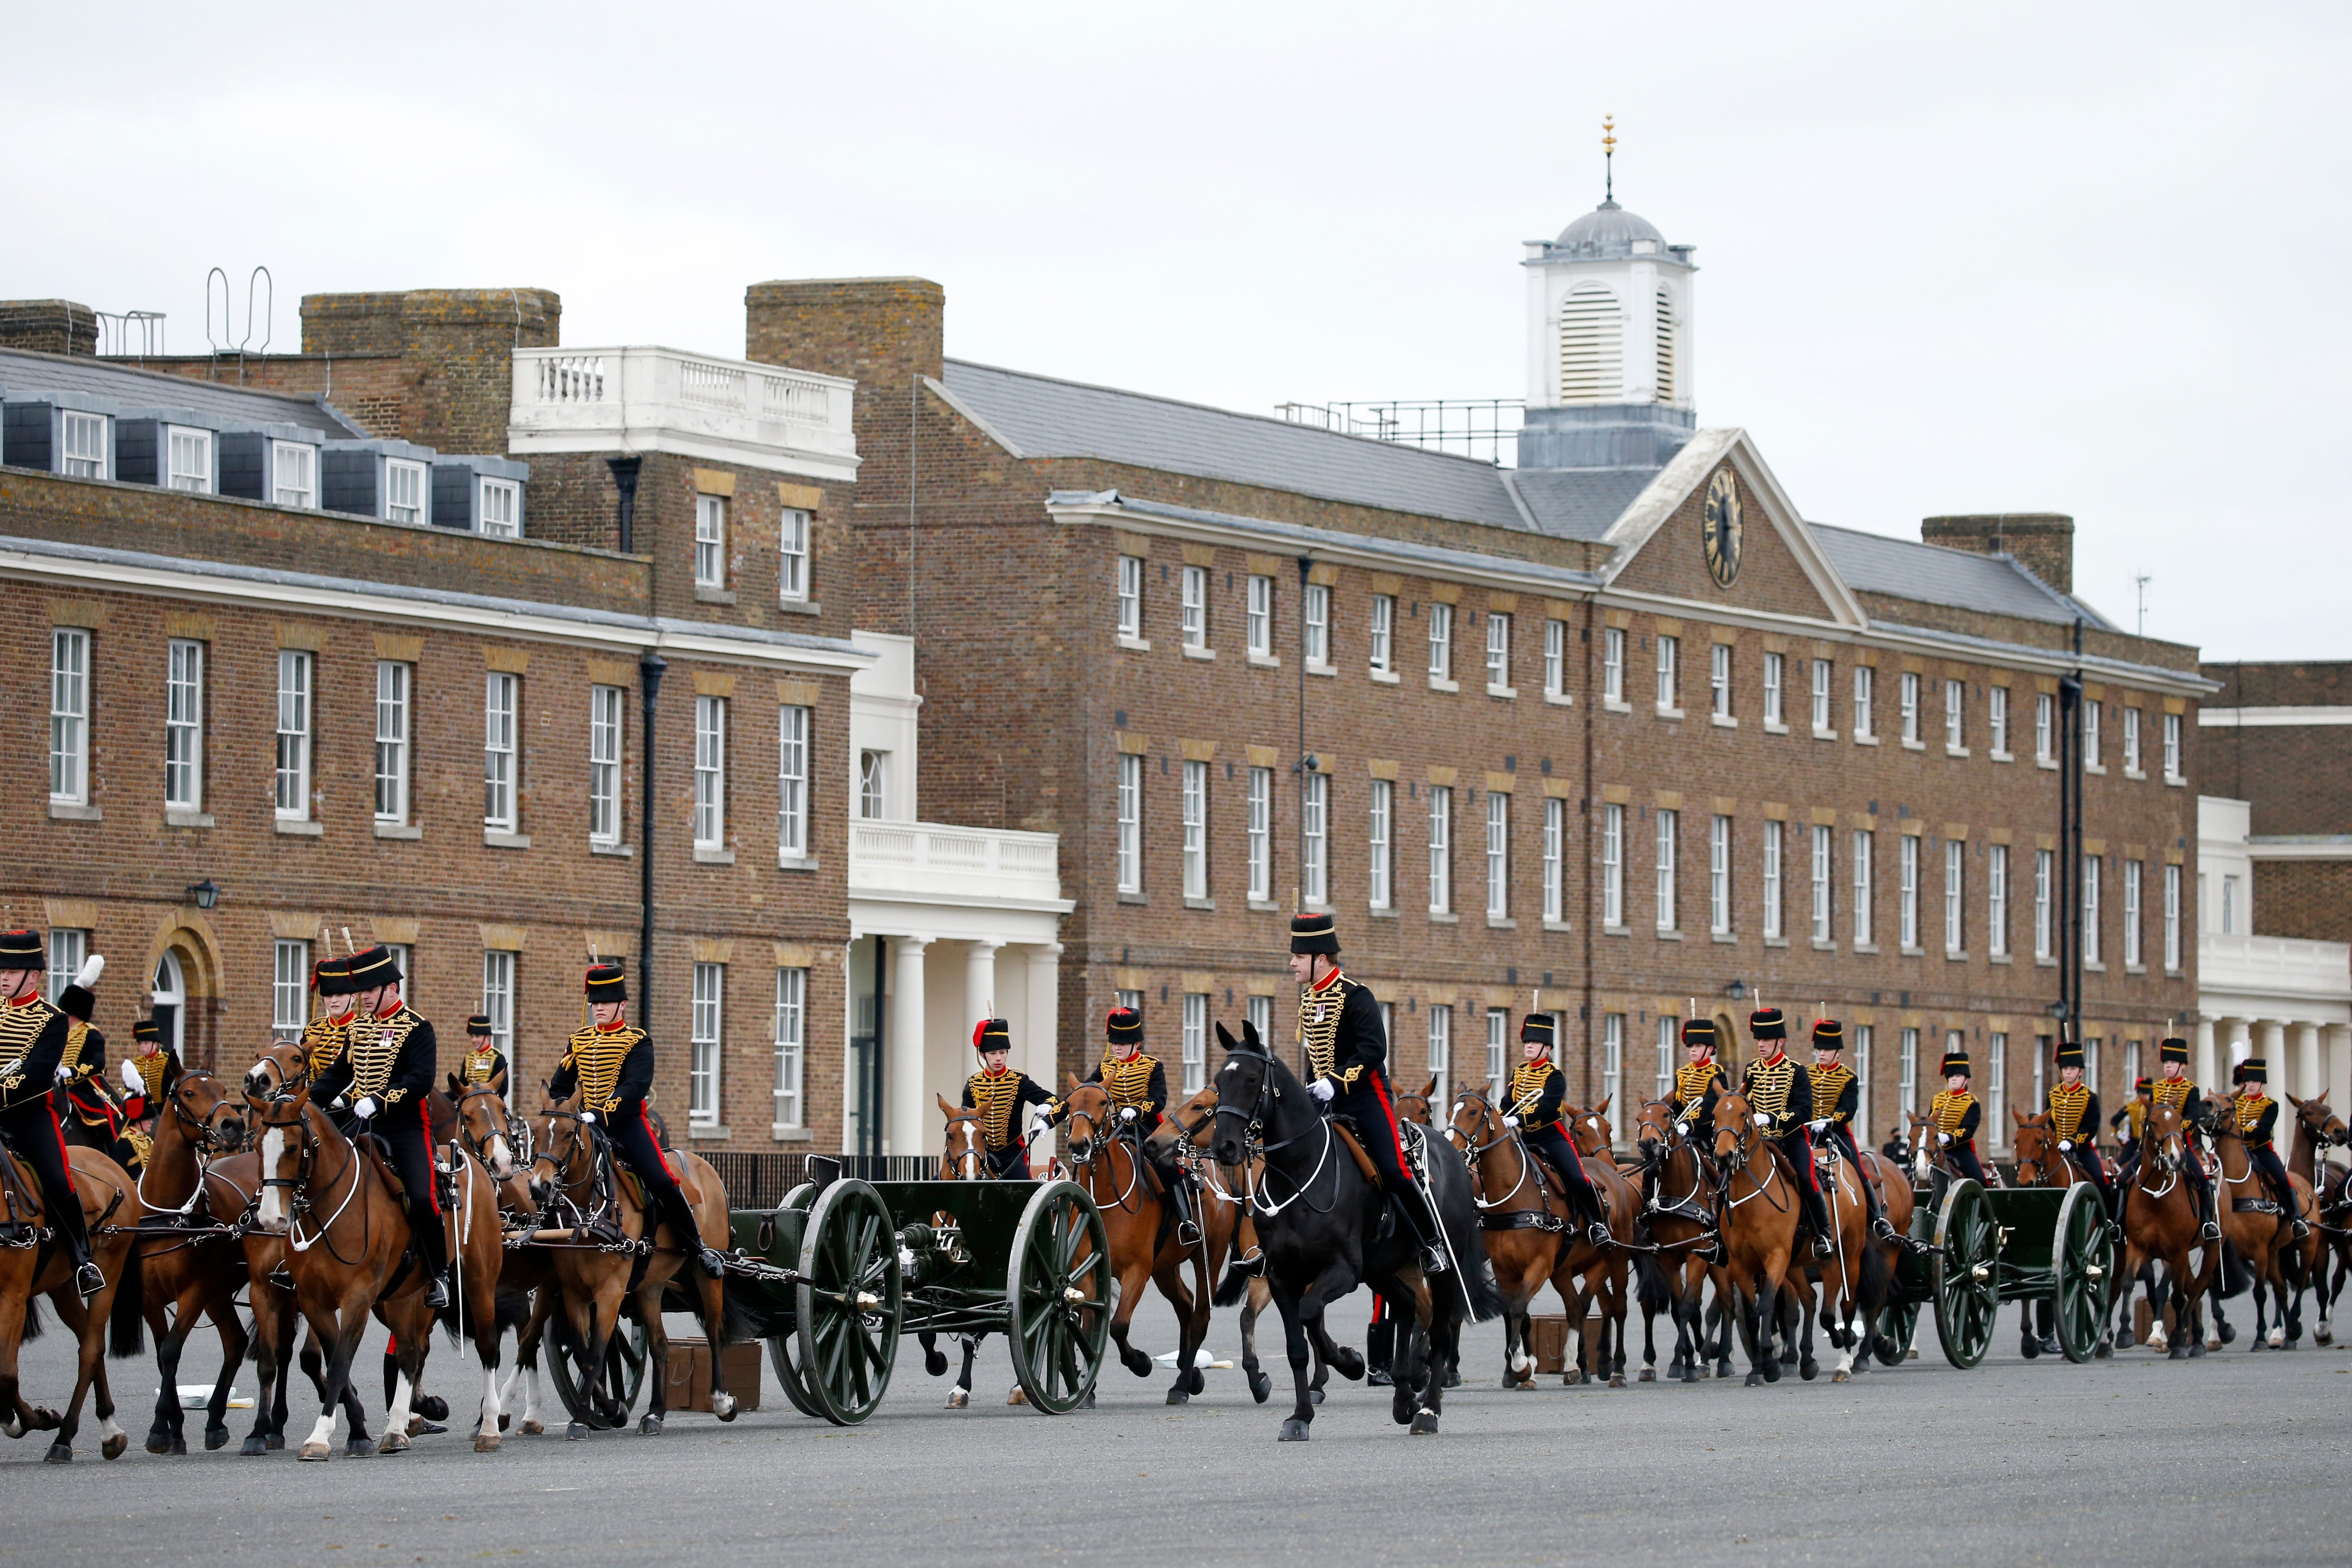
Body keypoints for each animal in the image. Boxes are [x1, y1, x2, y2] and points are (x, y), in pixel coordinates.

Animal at [0, 1133, 142, 1467]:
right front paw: (15, 1419)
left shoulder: (13, 1296)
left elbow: (7, 1373)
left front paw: (36, 1419)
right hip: (61, 1286)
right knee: (92, 1341)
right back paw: (109, 1429)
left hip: (108, 1271)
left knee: (90, 1349)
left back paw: (64, 1438)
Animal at [245, 1044, 508, 1457]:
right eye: (257, 1145)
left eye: (292, 1147)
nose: (272, 1218)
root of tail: (473, 1167)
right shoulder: (306, 1298)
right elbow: (323, 1359)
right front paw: (355, 1428)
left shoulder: (358, 1295)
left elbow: (339, 1361)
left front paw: (323, 1435)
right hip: (403, 1296)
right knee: (410, 1352)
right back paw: (398, 1427)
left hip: (479, 1284)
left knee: (487, 1347)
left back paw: (490, 1427)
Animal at [529, 1100, 738, 1439]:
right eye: (534, 1132)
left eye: (568, 1134)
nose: (539, 1187)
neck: (589, 1214)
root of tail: (705, 1168)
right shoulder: (574, 1292)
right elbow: (582, 1351)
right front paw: (611, 1409)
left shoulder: (611, 1292)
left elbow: (596, 1354)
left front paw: (581, 1419)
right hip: (650, 1287)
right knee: (661, 1345)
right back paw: (655, 1413)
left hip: (706, 1276)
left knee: (714, 1332)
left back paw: (722, 1400)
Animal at [1213, 1025, 1505, 1439]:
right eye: (1219, 1082)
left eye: (1252, 1080)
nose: (1225, 1146)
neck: (1299, 1175)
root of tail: (1450, 1152)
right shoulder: (1281, 1276)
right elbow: (1297, 1347)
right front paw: (1300, 1416)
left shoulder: (1343, 1271)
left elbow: (1311, 1313)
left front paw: (1349, 1362)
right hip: (1383, 1268)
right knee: (1408, 1306)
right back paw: (1403, 1396)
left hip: (1441, 1269)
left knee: (1441, 1329)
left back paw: (1427, 1409)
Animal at [2107, 1105, 2210, 1363]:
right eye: (2153, 1122)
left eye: (2181, 1121)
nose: (2178, 1158)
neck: (2156, 1197)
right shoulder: (2136, 1246)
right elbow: (2127, 1282)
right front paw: (2125, 1333)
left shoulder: (2177, 1252)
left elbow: (2172, 1293)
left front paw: (2175, 1338)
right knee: (2191, 1287)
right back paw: (2195, 1338)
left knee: (2197, 1287)